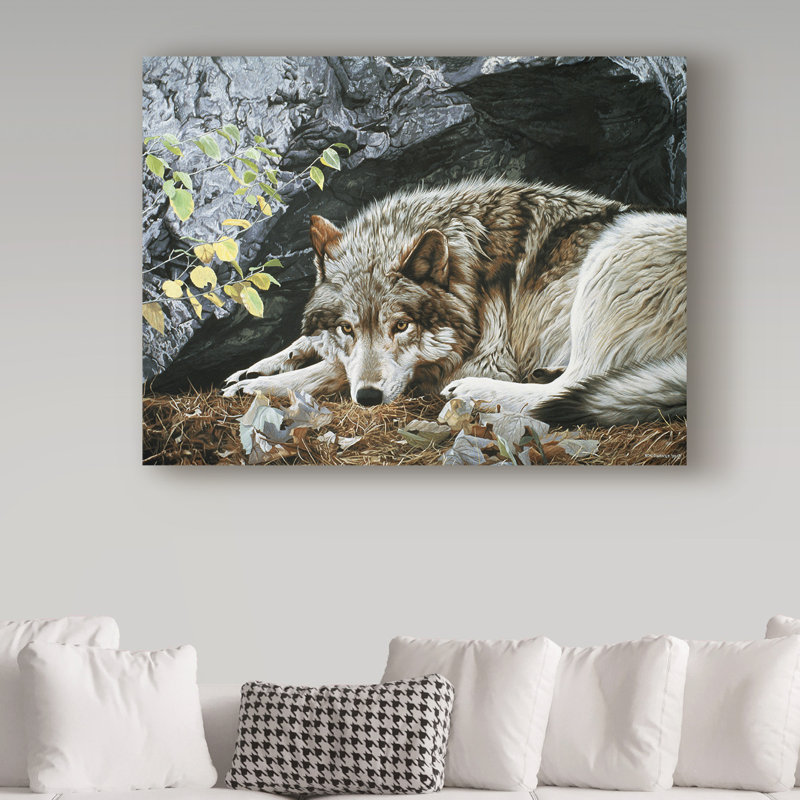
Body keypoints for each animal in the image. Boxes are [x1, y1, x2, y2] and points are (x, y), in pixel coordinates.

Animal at [223, 178, 686, 426]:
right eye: (346, 328)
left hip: (613, 252)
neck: (471, 269)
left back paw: (476, 391)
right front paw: (257, 367)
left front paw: (257, 386)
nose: (369, 399)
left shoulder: (485, 357)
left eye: (401, 326)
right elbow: (318, 349)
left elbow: (331, 371)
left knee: (571, 385)